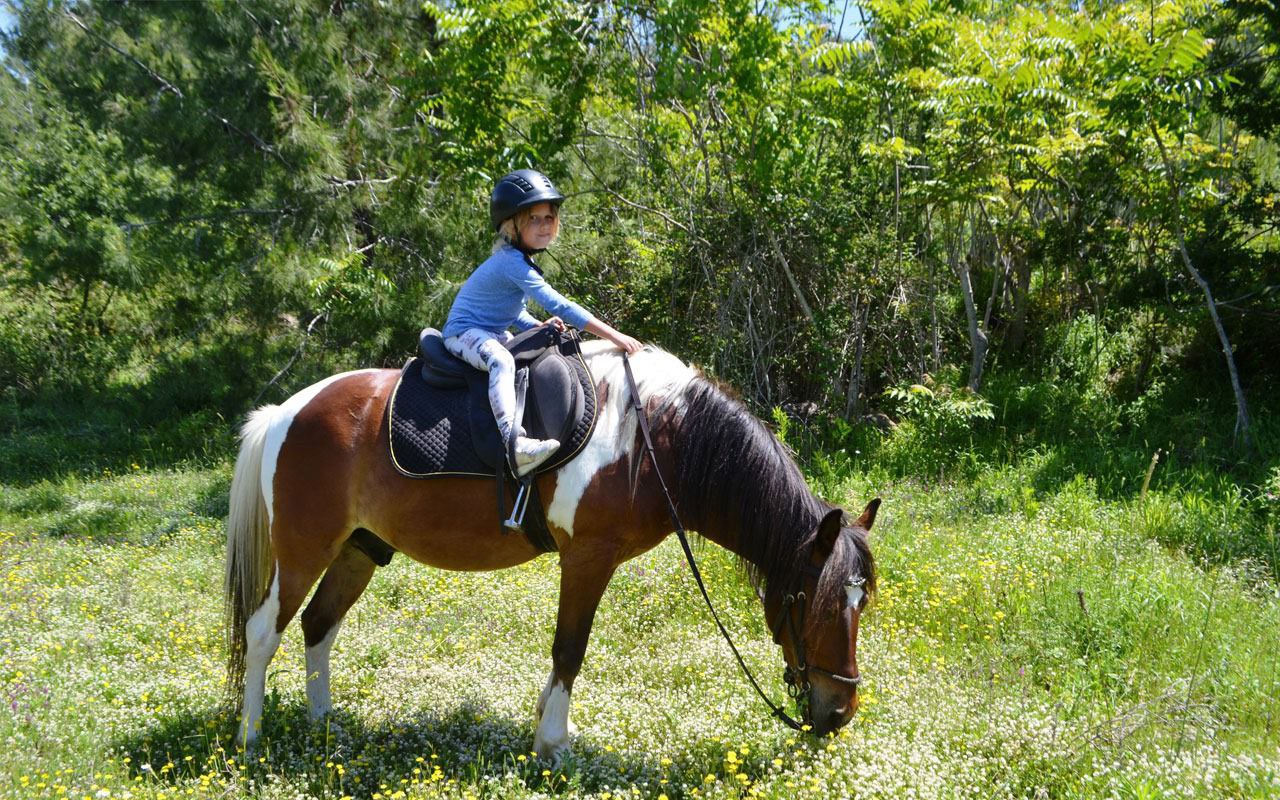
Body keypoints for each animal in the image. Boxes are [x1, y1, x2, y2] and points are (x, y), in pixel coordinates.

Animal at [225, 340, 875, 752]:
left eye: (862, 604)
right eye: (815, 605)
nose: (841, 712)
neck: (654, 441)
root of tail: (285, 411)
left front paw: (545, 728)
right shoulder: (588, 557)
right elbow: (570, 650)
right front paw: (552, 745)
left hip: (359, 549)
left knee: (318, 625)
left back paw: (323, 727)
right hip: (304, 549)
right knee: (262, 632)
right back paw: (251, 738)